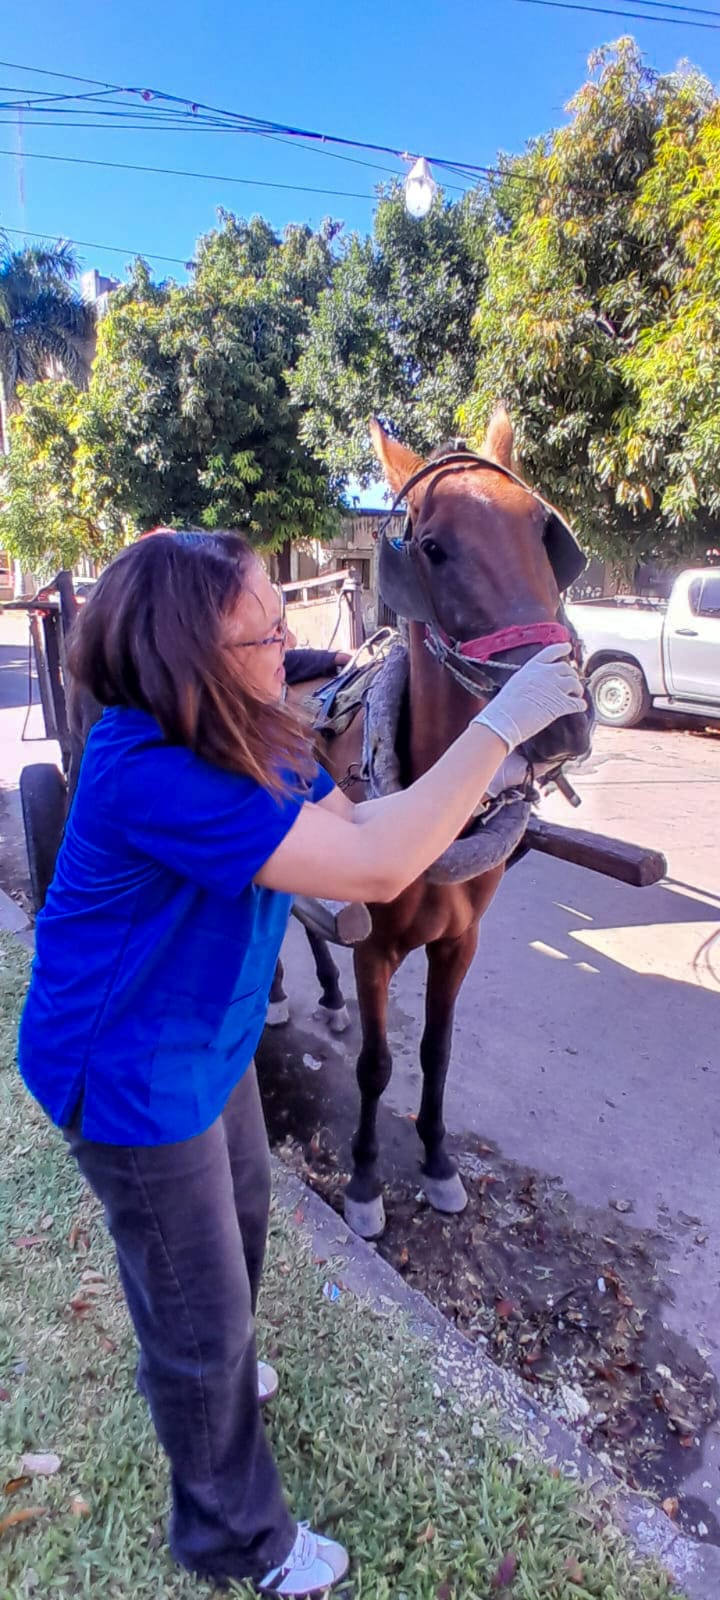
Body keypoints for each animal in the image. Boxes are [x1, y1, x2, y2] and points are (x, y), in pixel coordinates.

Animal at [280, 407, 593, 1239]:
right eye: (433, 548)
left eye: (544, 532)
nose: (564, 723)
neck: (433, 806)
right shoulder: (375, 947)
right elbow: (376, 1065)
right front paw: (364, 1181)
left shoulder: (461, 941)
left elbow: (437, 1051)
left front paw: (439, 1160)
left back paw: (322, 995)